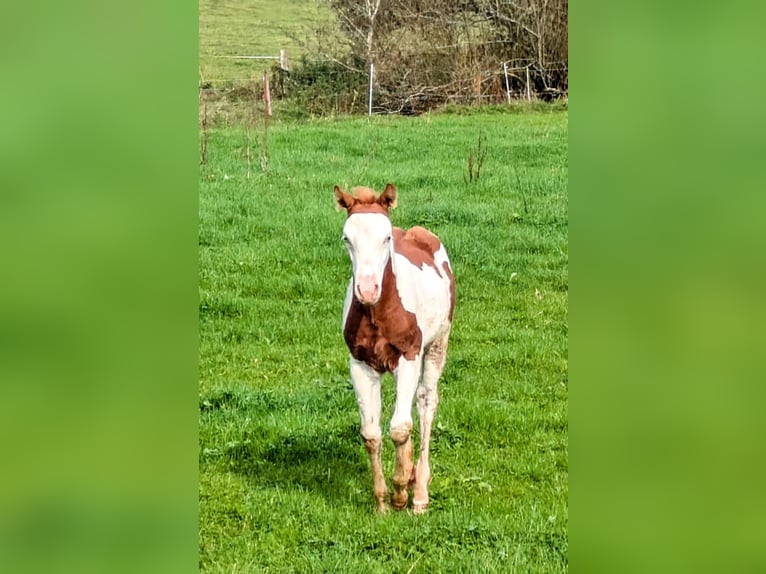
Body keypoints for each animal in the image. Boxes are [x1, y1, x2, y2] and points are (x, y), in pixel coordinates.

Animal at [332, 182, 452, 516]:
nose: (367, 289)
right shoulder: (360, 365)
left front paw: (401, 496)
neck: (378, 311)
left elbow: (399, 428)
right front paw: (383, 502)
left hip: (437, 345)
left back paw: (419, 491)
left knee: (425, 403)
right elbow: (371, 434)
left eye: (385, 237)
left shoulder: (408, 358)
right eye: (347, 238)